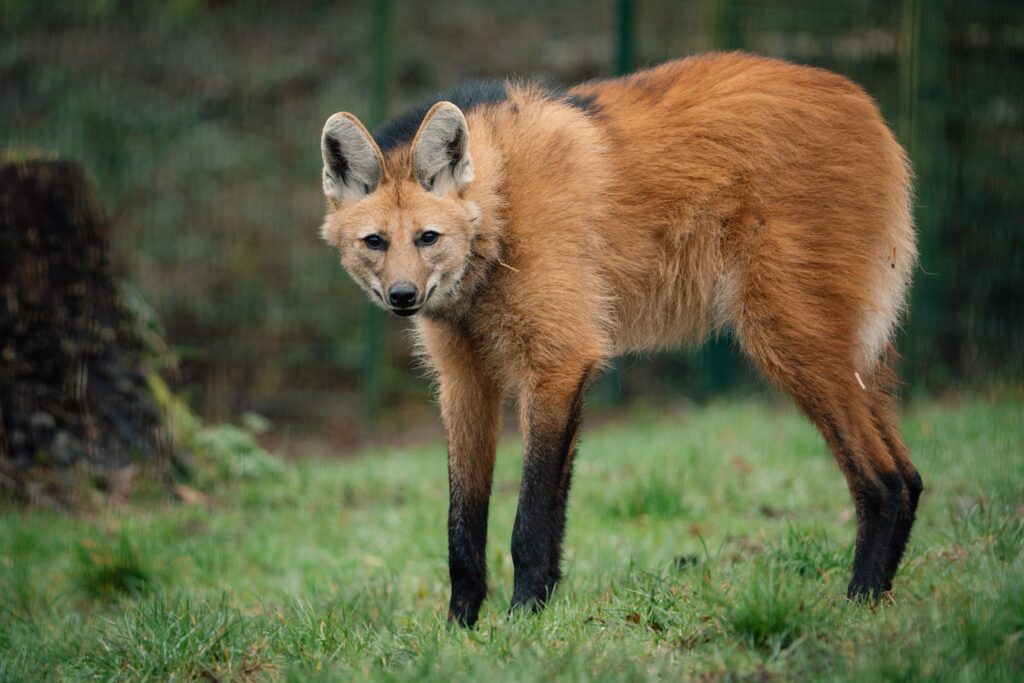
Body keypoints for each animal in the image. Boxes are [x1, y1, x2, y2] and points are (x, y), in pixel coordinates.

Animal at [318, 52, 921, 627]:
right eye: (375, 242)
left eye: (428, 238)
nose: (402, 296)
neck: (500, 213)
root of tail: (865, 108)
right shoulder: (466, 379)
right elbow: (464, 526)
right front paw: (461, 632)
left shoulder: (559, 361)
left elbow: (530, 520)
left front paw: (520, 624)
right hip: (843, 347)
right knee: (912, 478)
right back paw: (883, 597)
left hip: (789, 337)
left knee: (884, 480)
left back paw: (859, 604)